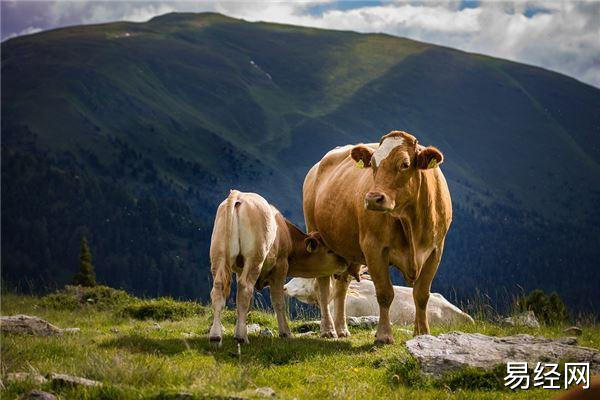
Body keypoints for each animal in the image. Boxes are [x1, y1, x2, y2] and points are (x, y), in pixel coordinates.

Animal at [209, 189, 346, 346]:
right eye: (329, 250)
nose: (345, 262)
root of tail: (239, 195)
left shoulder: (239, 269)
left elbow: (246, 304)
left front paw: (240, 329)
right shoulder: (281, 266)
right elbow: (278, 301)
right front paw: (285, 332)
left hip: (218, 255)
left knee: (219, 288)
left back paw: (215, 336)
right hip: (255, 258)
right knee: (245, 288)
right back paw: (241, 338)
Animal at [304, 131, 450, 344]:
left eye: (405, 164)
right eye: (372, 164)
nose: (373, 198)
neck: (411, 222)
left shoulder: (435, 250)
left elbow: (422, 294)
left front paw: (422, 333)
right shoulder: (374, 248)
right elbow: (384, 293)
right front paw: (384, 335)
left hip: (346, 250)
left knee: (342, 286)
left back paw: (342, 328)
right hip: (317, 236)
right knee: (323, 286)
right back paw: (328, 329)